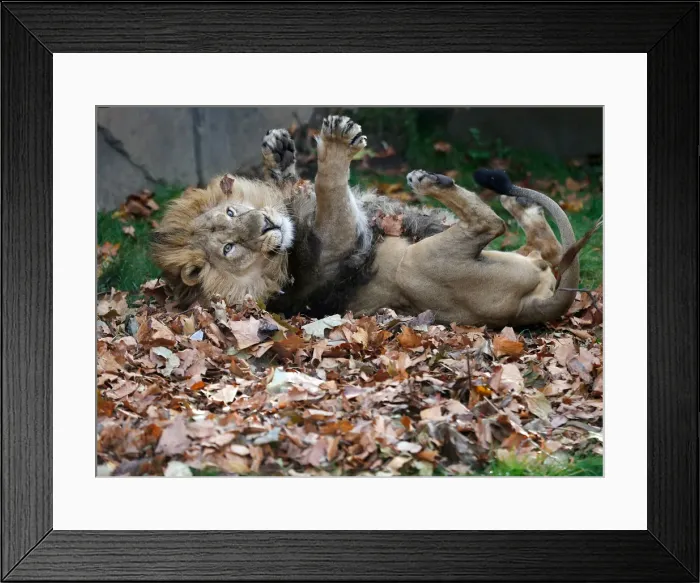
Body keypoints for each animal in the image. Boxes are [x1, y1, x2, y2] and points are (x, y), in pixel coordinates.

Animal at [151, 115, 581, 327]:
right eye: (230, 248)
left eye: (231, 213)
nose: (266, 227)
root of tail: (533, 308)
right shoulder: (340, 239)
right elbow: (328, 185)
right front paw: (337, 142)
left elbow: (295, 182)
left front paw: (279, 150)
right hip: (418, 265)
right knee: (490, 225)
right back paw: (430, 181)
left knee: (549, 246)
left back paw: (521, 207)